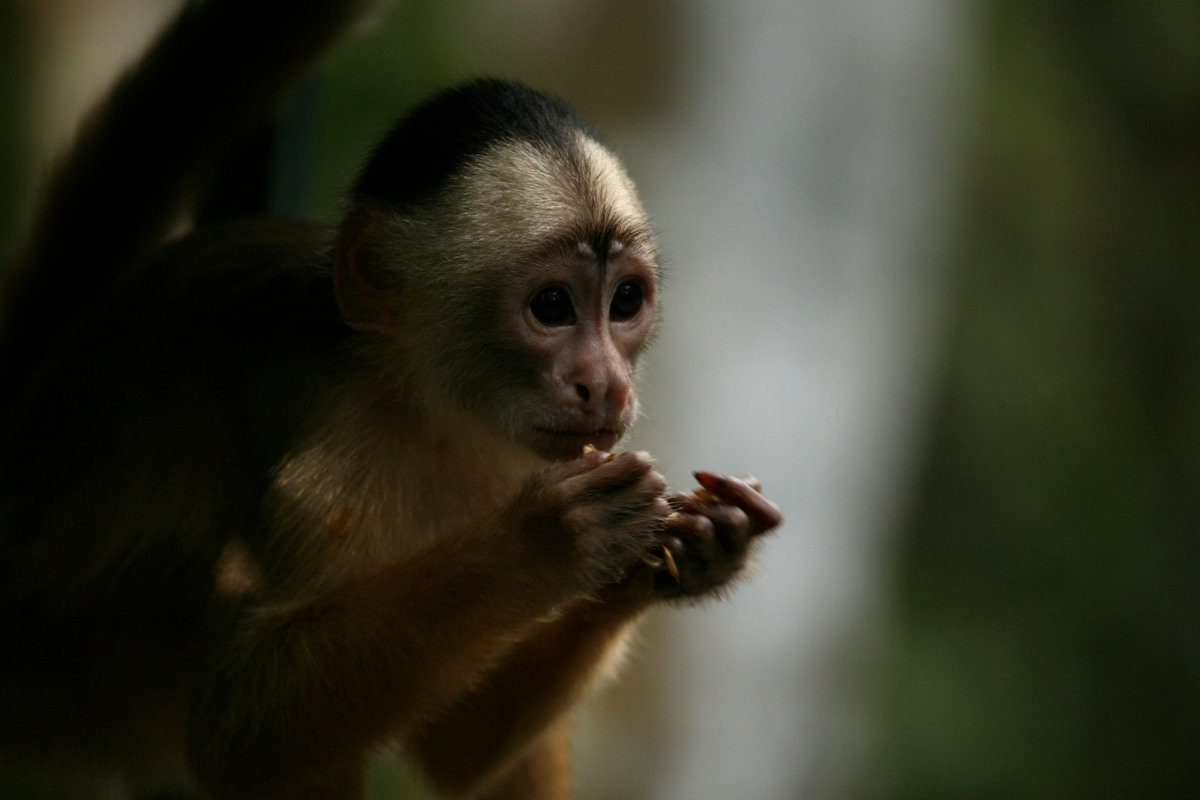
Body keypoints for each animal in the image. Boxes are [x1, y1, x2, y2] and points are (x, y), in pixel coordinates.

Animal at [0, 2, 782, 799]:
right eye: (552, 307)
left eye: (624, 302)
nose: (606, 382)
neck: (417, 402)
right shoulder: (329, 459)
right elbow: (242, 735)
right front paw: (549, 541)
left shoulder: (501, 457)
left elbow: (458, 749)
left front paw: (699, 544)